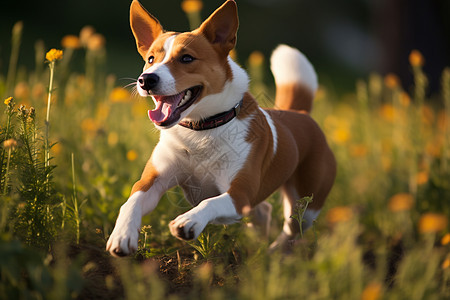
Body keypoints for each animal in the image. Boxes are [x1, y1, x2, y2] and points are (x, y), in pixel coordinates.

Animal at [107, 0, 336, 258]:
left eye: (187, 58)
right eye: (150, 59)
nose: (146, 79)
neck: (200, 129)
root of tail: (300, 114)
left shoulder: (240, 195)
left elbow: (210, 202)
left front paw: (189, 220)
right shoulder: (152, 180)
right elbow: (131, 202)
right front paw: (122, 235)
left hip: (306, 206)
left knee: (292, 228)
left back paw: (274, 253)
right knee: (265, 211)